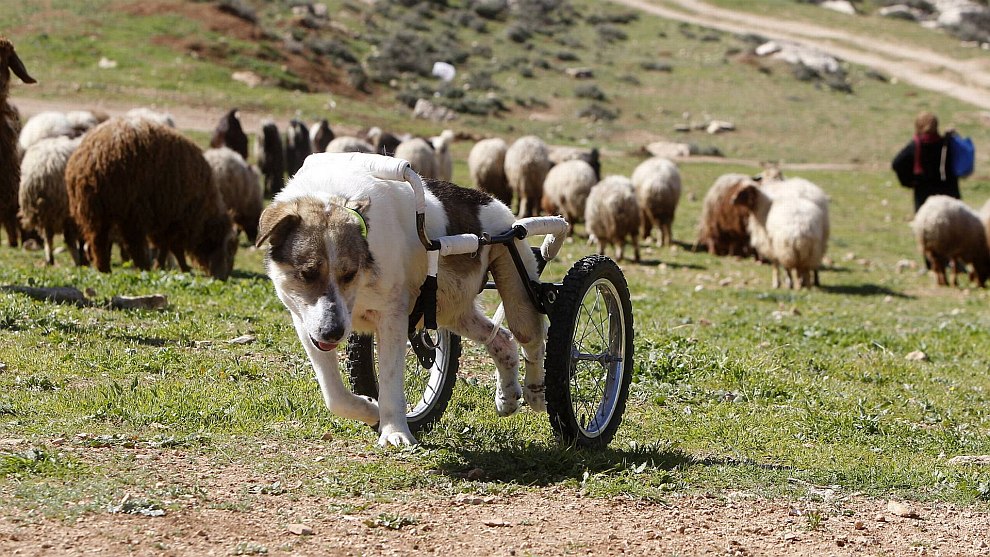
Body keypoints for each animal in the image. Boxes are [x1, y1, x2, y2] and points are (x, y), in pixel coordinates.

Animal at [17, 135, 83, 264]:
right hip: (65, 208)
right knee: (68, 238)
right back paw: (78, 261)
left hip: (47, 211)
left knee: (48, 236)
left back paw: (50, 259)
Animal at [66, 119, 238, 280]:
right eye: (229, 249)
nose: (223, 277)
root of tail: (94, 158)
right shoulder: (173, 216)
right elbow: (172, 246)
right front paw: (177, 267)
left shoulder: (167, 218)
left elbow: (167, 246)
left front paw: (167, 266)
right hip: (131, 209)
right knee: (132, 243)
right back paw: (142, 267)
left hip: (96, 210)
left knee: (99, 241)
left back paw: (105, 269)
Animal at [258, 153, 552, 448]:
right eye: (307, 274)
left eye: (349, 273)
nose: (334, 332)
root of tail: (495, 203)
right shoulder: (305, 324)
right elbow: (335, 396)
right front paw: (370, 409)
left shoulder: (393, 318)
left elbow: (389, 382)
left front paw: (394, 431)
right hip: (451, 310)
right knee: (502, 338)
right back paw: (507, 396)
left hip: (517, 288)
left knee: (532, 340)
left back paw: (537, 393)